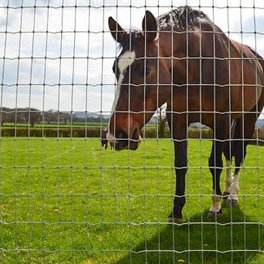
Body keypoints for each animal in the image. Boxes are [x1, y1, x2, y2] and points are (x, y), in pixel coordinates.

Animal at [104, 5, 264, 222]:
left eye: (146, 69)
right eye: (115, 69)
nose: (117, 135)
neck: (198, 65)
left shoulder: (220, 121)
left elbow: (215, 163)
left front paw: (215, 206)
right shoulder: (178, 119)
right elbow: (180, 164)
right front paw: (177, 210)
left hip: (248, 117)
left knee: (238, 153)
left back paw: (232, 196)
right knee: (229, 153)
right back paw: (226, 189)